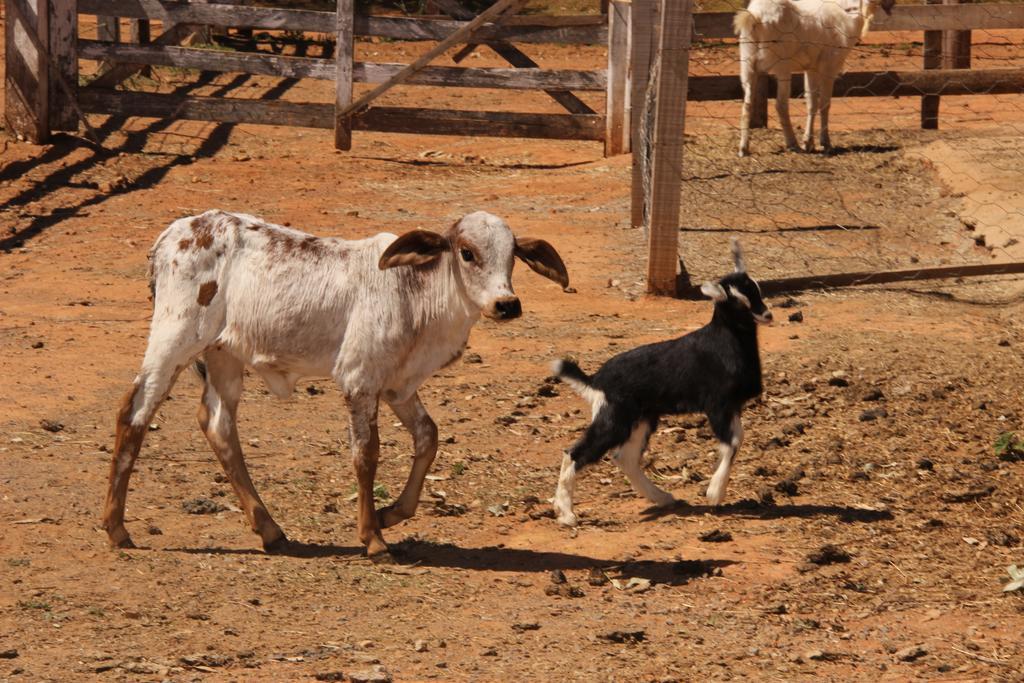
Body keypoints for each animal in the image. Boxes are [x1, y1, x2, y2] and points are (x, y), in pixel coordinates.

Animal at [102, 209, 569, 561]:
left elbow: (428, 437)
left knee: (218, 425)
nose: (506, 304)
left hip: (223, 355)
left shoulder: (397, 386)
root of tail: (174, 234)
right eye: (467, 253)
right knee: (135, 409)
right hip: (176, 336)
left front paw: (389, 514)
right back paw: (116, 527)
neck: (415, 292)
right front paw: (373, 539)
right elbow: (366, 455)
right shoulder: (360, 381)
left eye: (513, 257)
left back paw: (270, 529)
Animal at [737, 0, 897, 154]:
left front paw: (809, 143)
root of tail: (755, 16)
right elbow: (825, 104)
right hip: (782, 65)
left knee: (747, 104)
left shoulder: (811, 69)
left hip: (748, 64)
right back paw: (792, 144)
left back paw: (744, 148)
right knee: (781, 105)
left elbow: (812, 103)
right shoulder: (829, 67)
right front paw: (825, 143)